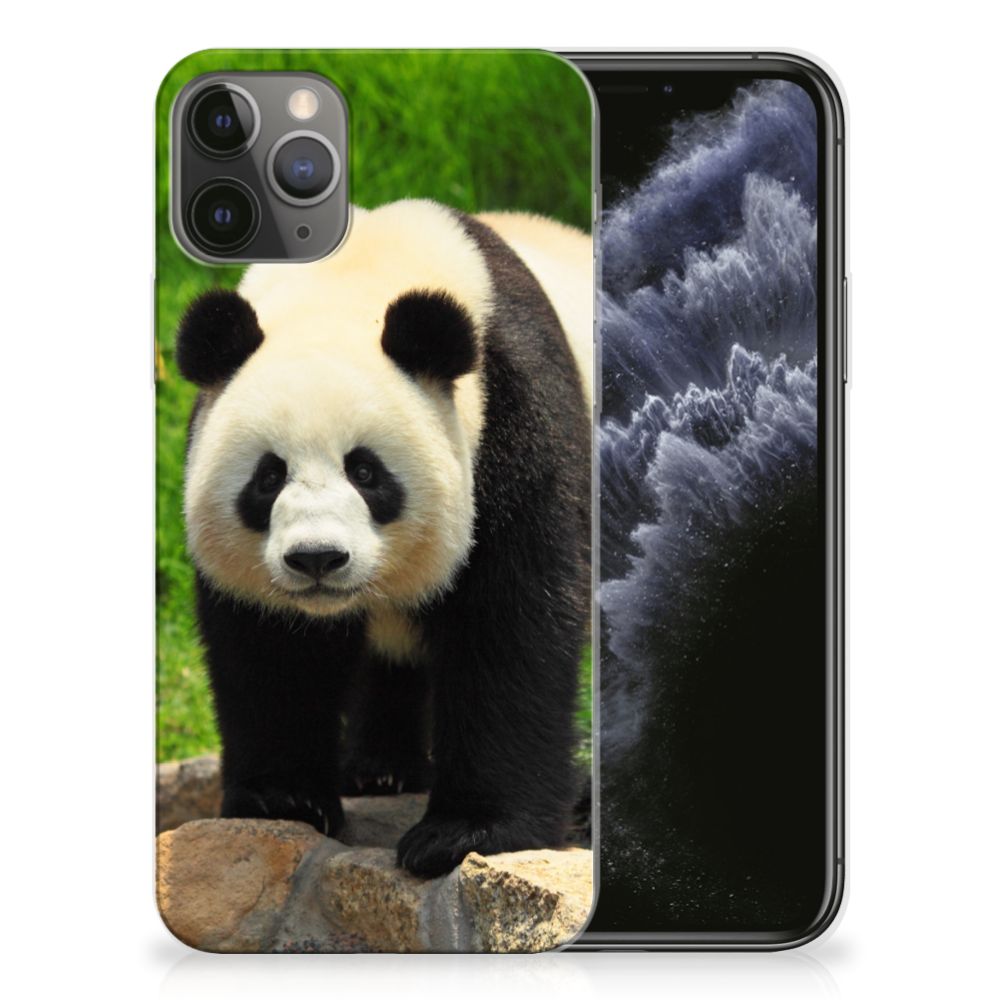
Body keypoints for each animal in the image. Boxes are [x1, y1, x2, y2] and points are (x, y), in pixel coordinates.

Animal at [176, 199, 592, 877]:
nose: (317, 558)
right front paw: (282, 799)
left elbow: (512, 624)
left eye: (366, 472)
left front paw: (466, 832)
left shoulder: (516, 420)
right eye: (268, 476)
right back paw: (379, 770)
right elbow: (271, 648)